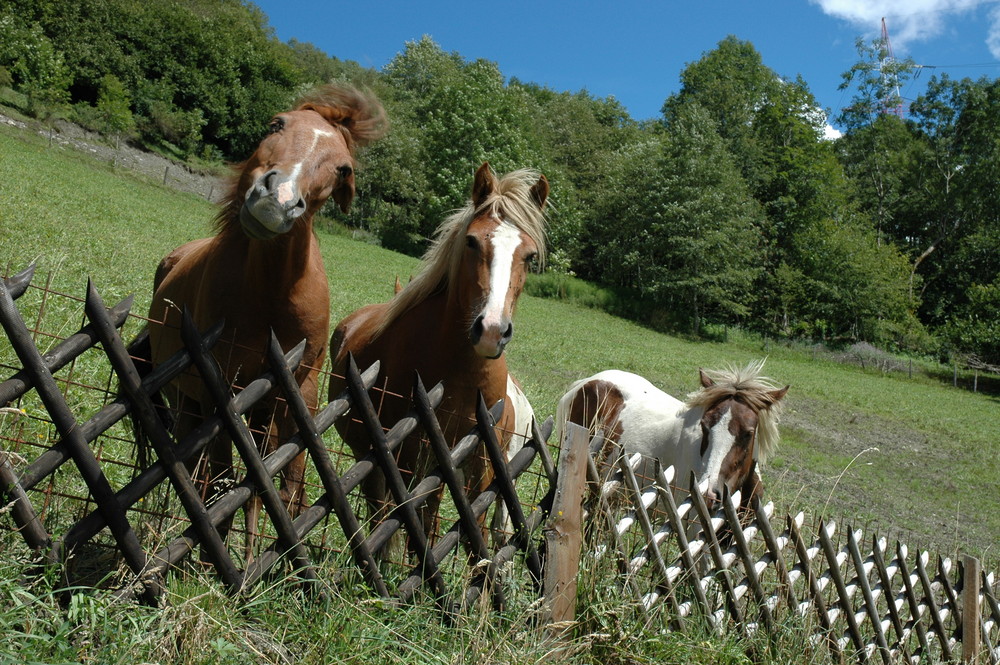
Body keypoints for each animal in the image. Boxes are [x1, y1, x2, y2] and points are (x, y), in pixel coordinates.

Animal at [141, 84, 386, 556]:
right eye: (276, 124)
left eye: (342, 168)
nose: (278, 199)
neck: (272, 294)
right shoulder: (221, 394)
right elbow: (221, 481)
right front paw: (214, 561)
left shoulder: (297, 396)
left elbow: (284, 486)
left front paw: (287, 561)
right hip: (188, 401)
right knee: (199, 469)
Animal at [328, 162, 548, 548]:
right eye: (472, 241)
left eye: (530, 255)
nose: (492, 330)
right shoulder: (410, 455)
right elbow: (413, 520)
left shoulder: (478, 460)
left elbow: (471, 525)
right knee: (380, 511)